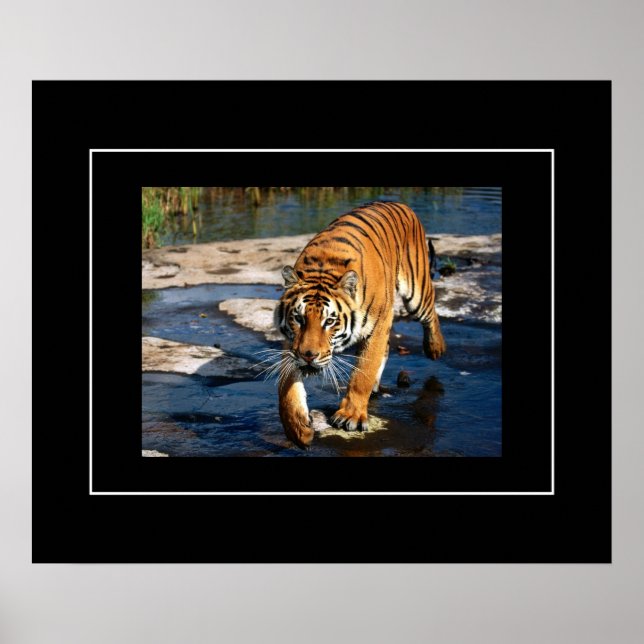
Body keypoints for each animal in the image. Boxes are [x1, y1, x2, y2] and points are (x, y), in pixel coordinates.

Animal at [275, 201, 446, 448]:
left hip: (416, 290)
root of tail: (400, 203)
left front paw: (351, 416)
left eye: (329, 321)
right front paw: (298, 429)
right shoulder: (292, 343)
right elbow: (286, 389)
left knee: (430, 312)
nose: (308, 356)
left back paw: (435, 347)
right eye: (299, 318)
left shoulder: (378, 325)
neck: (324, 268)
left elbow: (363, 372)